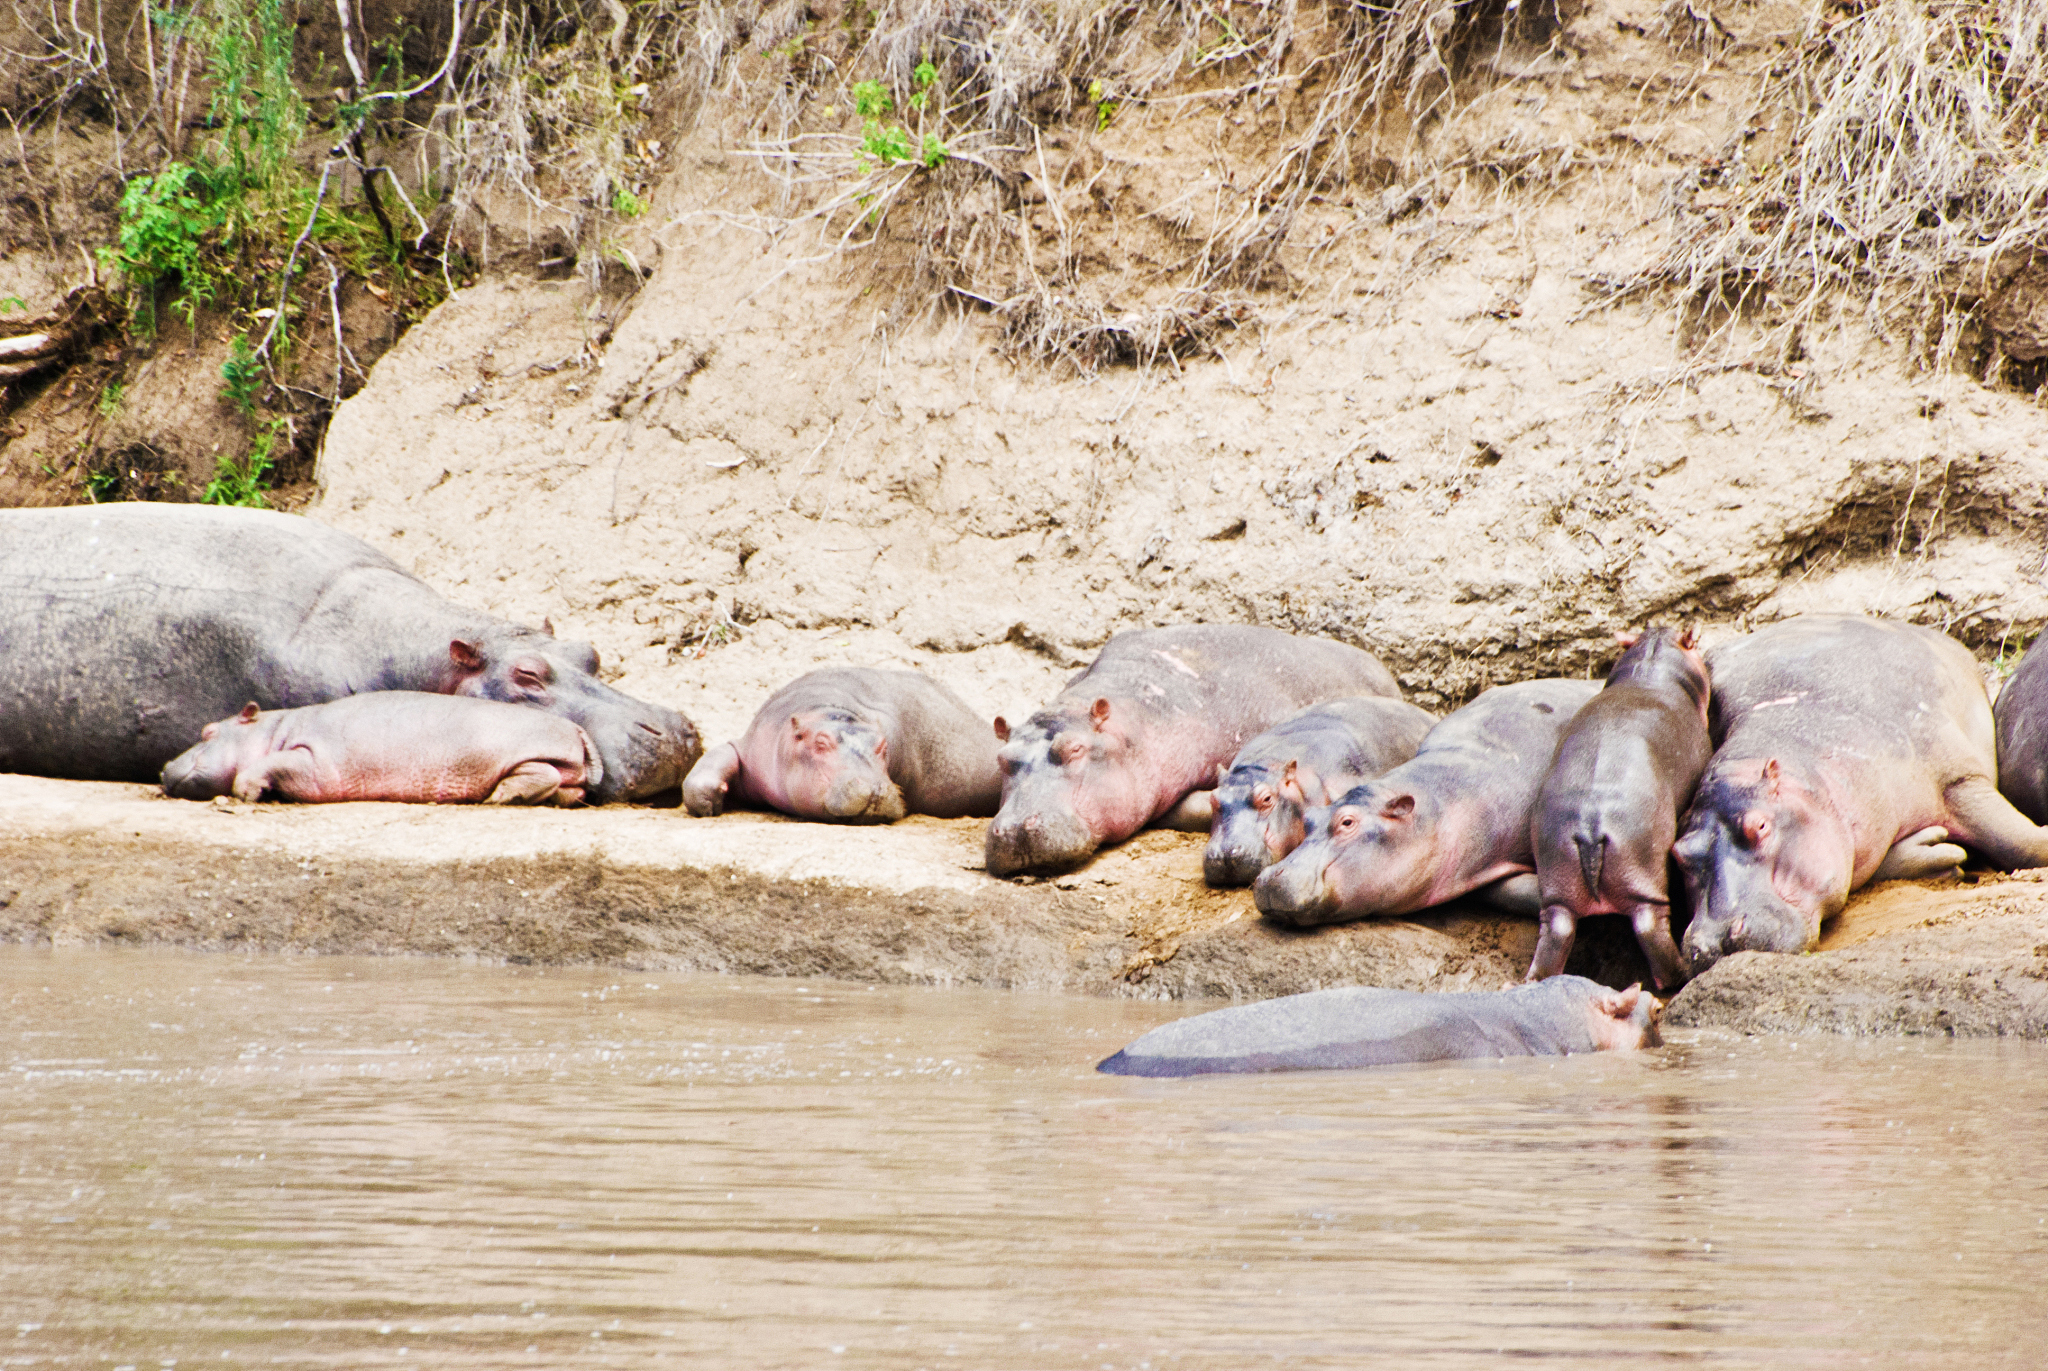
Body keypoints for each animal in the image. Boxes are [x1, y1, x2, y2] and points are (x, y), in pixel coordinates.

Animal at [160, 694, 601, 804]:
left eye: (208, 730)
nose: (163, 766)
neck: (273, 729)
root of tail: (576, 726)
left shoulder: (313, 759)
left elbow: (274, 762)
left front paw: (247, 793)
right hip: (566, 776)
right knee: (564, 787)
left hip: (527, 754)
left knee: (539, 773)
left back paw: (499, 797)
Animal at [682, 667, 1002, 822]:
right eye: (820, 743)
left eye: (883, 746)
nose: (875, 788)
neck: (827, 710)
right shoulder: (750, 745)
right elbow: (715, 760)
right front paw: (712, 802)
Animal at [1527, 628, 1711, 990]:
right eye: (1692, 643)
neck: (1649, 665)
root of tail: (1589, 825)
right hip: (1644, 878)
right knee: (1650, 925)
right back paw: (1677, 976)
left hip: (1556, 882)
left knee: (1556, 930)